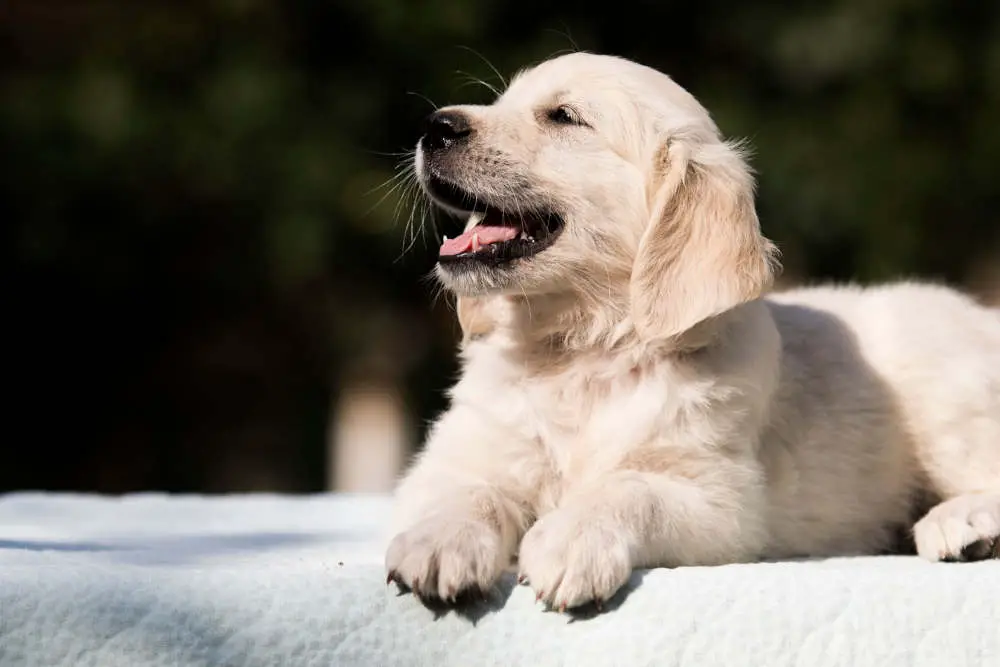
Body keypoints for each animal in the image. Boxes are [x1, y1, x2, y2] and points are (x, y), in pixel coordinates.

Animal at [382, 52, 1000, 612]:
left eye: (563, 116)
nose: (434, 126)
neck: (585, 350)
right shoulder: (457, 454)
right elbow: (469, 490)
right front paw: (440, 542)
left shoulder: (723, 502)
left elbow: (627, 487)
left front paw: (570, 538)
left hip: (943, 387)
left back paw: (964, 520)